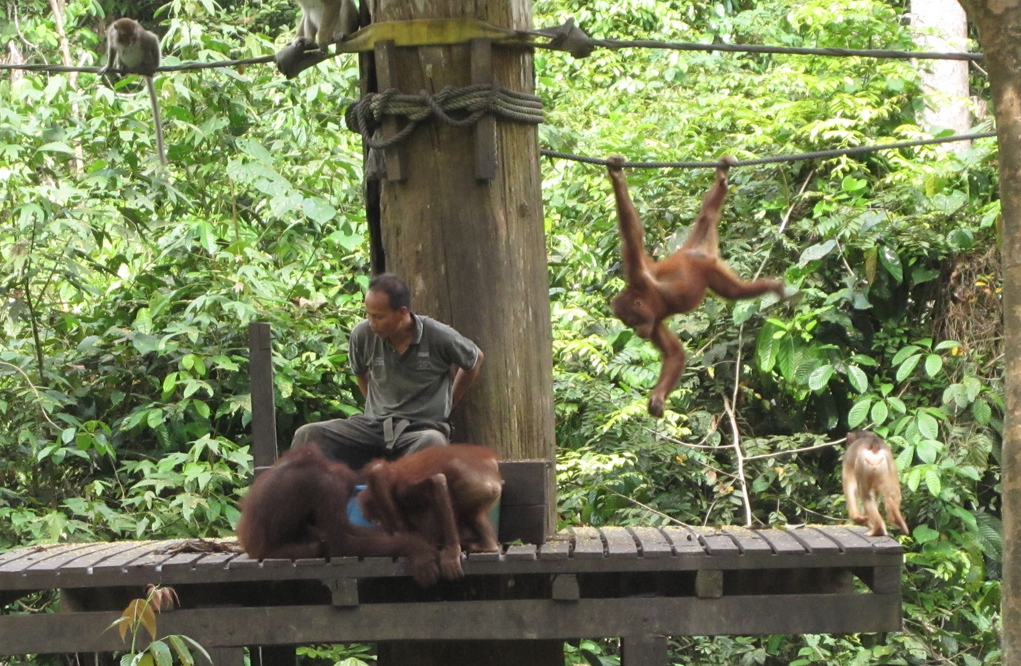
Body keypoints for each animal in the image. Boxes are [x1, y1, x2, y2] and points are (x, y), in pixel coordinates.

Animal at [98, 18, 166, 166]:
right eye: (124, 35)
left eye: (132, 36)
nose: (128, 42)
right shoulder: (111, 35)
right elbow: (113, 49)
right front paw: (108, 66)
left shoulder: (141, 37)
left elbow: (152, 39)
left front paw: (155, 66)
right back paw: (122, 67)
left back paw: (146, 67)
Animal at [359, 445, 503, 581]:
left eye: (376, 517)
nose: (378, 523)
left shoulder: (402, 491)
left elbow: (437, 481)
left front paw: (449, 552)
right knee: (473, 513)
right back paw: (488, 545)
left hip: (471, 485)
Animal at [606, 156, 787, 417]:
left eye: (632, 321)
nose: (638, 333)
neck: (651, 299)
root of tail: (692, 249)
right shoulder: (654, 324)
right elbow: (675, 353)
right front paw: (658, 399)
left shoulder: (640, 275)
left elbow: (632, 234)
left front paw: (617, 176)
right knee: (708, 215)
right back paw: (721, 181)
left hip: (709, 269)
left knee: (735, 291)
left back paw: (774, 287)